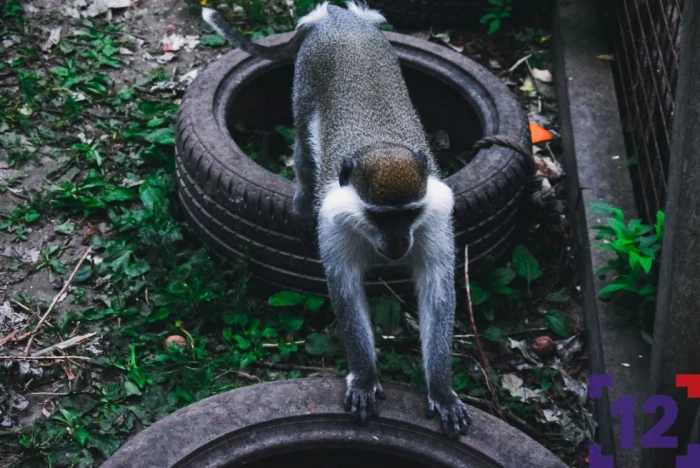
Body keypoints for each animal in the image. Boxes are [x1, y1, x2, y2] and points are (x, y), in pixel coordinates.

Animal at [202, 1, 470, 436]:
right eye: (380, 217)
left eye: (408, 215)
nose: (398, 243)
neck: (379, 145)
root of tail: (339, 17)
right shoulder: (334, 224)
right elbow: (345, 290)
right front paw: (364, 377)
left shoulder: (432, 219)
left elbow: (437, 291)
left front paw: (442, 389)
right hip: (304, 82)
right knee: (302, 145)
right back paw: (301, 195)